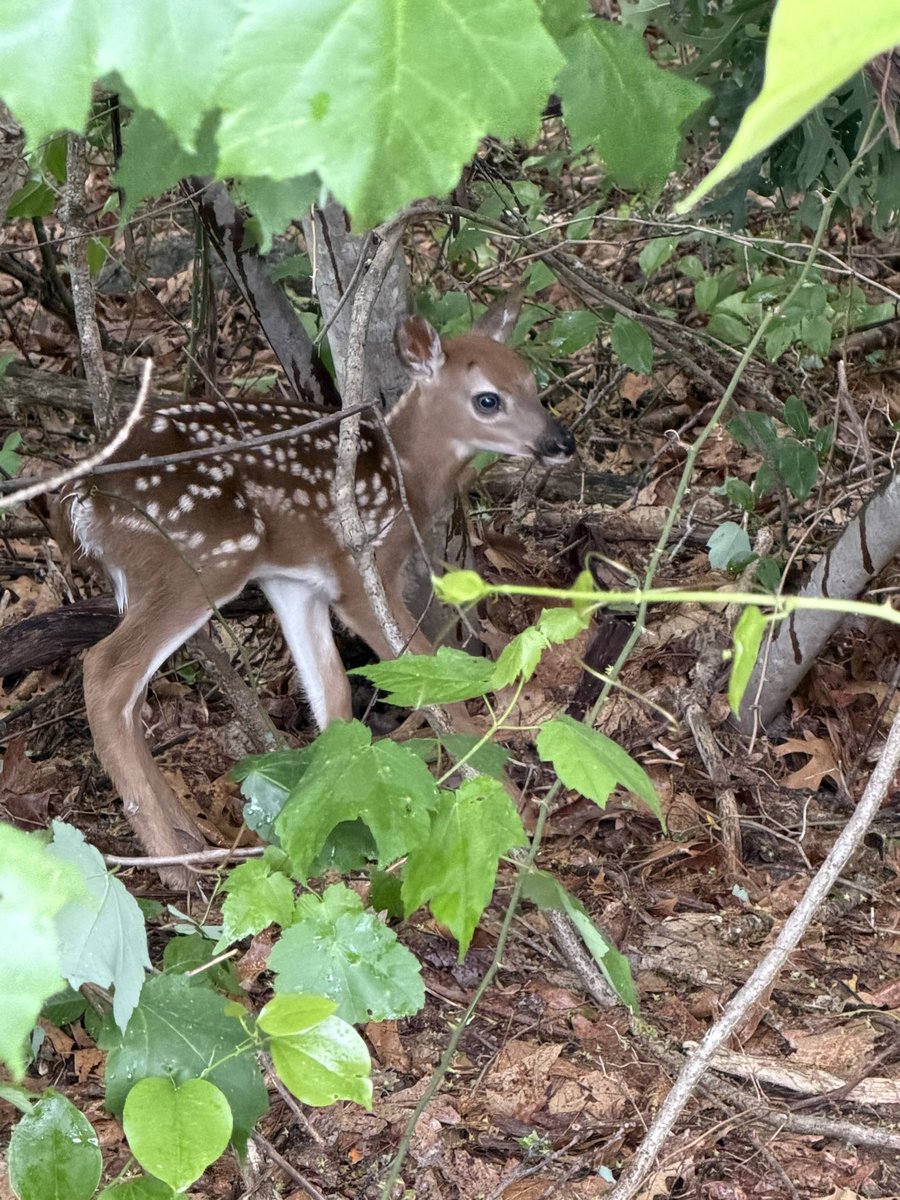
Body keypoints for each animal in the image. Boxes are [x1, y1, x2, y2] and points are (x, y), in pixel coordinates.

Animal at [61, 290, 575, 885]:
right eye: (488, 399)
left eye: (532, 383)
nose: (561, 442)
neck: (406, 475)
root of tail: (84, 501)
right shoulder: (360, 569)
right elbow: (424, 669)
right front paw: (510, 801)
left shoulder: (294, 581)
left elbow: (331, 694)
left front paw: (329, 815)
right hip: (201, 561)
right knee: (105, 671)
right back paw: (174, 866)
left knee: (132, 694)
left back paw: (188, 839)